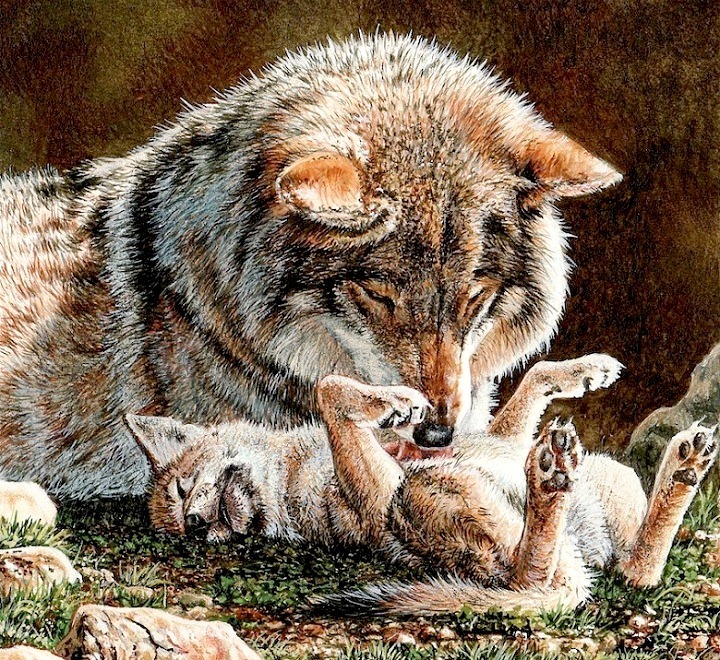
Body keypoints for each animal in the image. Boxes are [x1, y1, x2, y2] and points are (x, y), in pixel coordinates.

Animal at [128, 354, 717, 614]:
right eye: (184, 524)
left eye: (181, 490)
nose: (198, 524)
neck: (287, 474)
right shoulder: (381, 492)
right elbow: (329, 389)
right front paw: (392, 402)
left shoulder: (496, 435)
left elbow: (535, 377)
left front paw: (587, 370)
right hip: (421, 495)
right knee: (530, 576)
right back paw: (548, 482)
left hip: (611, 478)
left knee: (636, 568)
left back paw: (683, 465)